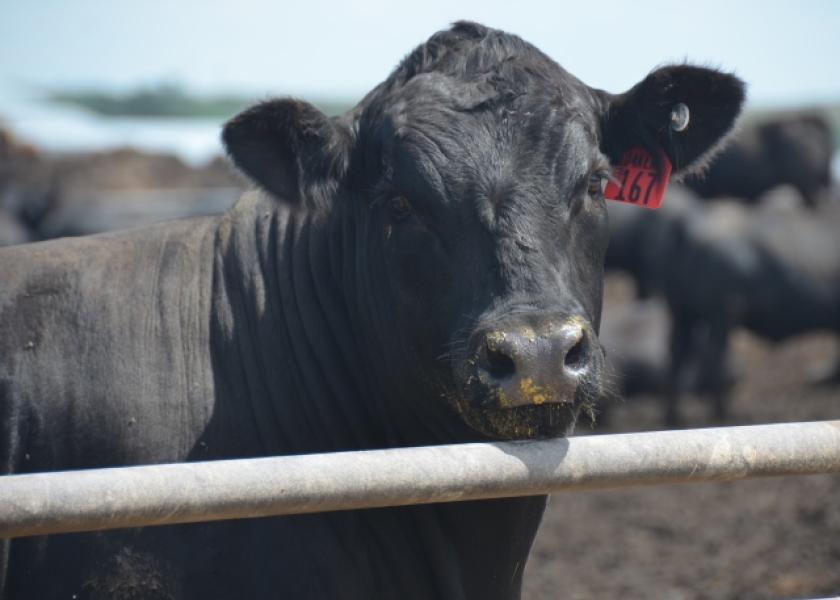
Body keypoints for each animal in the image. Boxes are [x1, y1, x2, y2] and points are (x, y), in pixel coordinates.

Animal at [664, 199, 840, 424]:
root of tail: (688, 226)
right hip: (722, 312)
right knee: (714, 355)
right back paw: (723, 414)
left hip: (683, 311)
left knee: (677, 351)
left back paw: (674, 417)